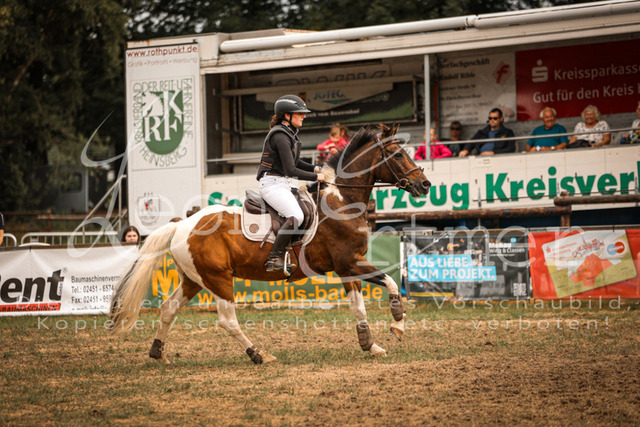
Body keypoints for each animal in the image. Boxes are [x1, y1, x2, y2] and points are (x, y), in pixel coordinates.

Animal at [110, 123, 431, 364]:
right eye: (398, 155)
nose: (424, 185)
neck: (341, 201)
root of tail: (181, 225)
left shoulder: (345, 268)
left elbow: (359, 306)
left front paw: (370, 345)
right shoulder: (349, 262)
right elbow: (390, 281)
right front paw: (398, 324)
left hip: (194, 279)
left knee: (168, 309)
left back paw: (158, 353)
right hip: (218, 279)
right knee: (227, 320)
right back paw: (259, 354)